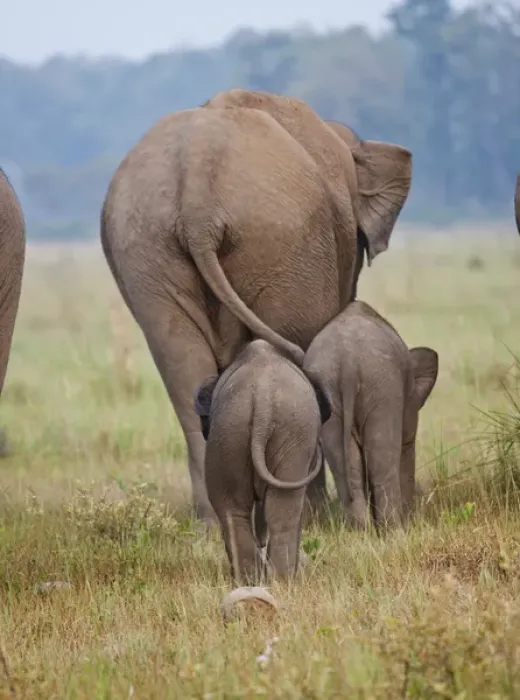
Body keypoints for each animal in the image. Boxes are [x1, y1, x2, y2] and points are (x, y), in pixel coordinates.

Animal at [100, 89, 412, 523]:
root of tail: (197, 192)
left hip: (146, 248)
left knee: (178, 362)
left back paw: (212, 522)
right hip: (285, 242)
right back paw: (306, 513)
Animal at [194, 339, 331, 583]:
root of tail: (262, 398)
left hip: (230, 430)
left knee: (233, 511)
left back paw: (249, 580)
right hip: (291, 433)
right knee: (283, 510)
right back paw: (283, 580)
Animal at [303, 301, 438, 530]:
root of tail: (347, 364)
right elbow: (406, 447)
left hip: (328, 393)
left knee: (345, 465)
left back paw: (361, 531)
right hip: (382, 389)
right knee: (382, 459)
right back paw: (393, 530)